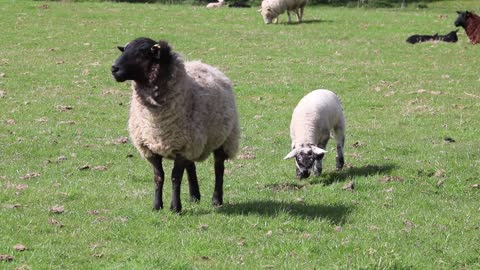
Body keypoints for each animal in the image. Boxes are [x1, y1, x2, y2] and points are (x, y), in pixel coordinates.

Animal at [111, 37, 240, 213]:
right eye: (124, 49)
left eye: (142, 52)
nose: (114, 69)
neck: (155, 120)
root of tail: (202, 64)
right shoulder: (151, 148)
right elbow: (159, 177)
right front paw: (157, 206)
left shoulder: (182, 148)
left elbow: (175, 177)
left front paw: (175, 207)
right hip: (193, 142)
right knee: (191, 166)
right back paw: (194, 196)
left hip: (224, 138)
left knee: (218, 168)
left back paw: (216, 200)